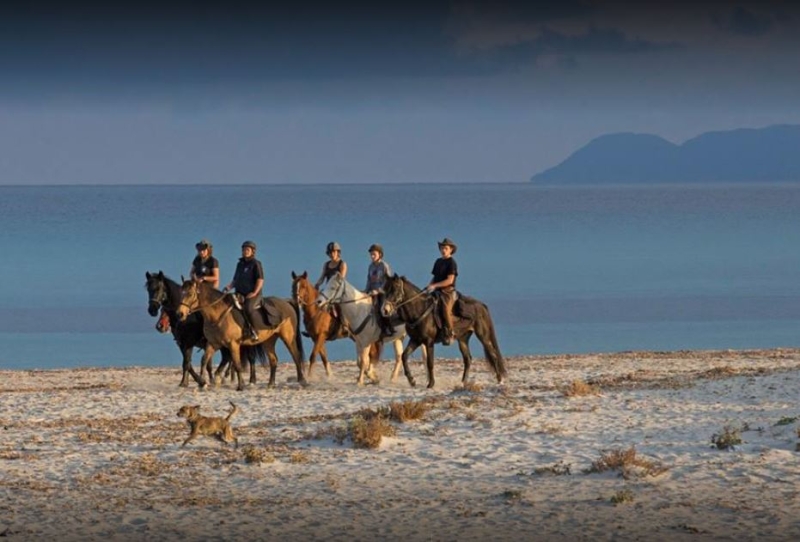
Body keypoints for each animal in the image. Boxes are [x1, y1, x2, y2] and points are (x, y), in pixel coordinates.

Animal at [177, 282, 308, 394]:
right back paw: (271, 384)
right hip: (269, 341)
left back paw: (302, 380)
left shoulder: (233, 344)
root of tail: (286, 302)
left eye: (190, 294)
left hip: (288, 337)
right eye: (181, 293)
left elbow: (237, 364)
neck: (218, 315)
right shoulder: (213, 344)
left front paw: (240, 386)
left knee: (296, 356)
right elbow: (204, 360)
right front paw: (202, 383)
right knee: (273, 360)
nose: (180, 314)